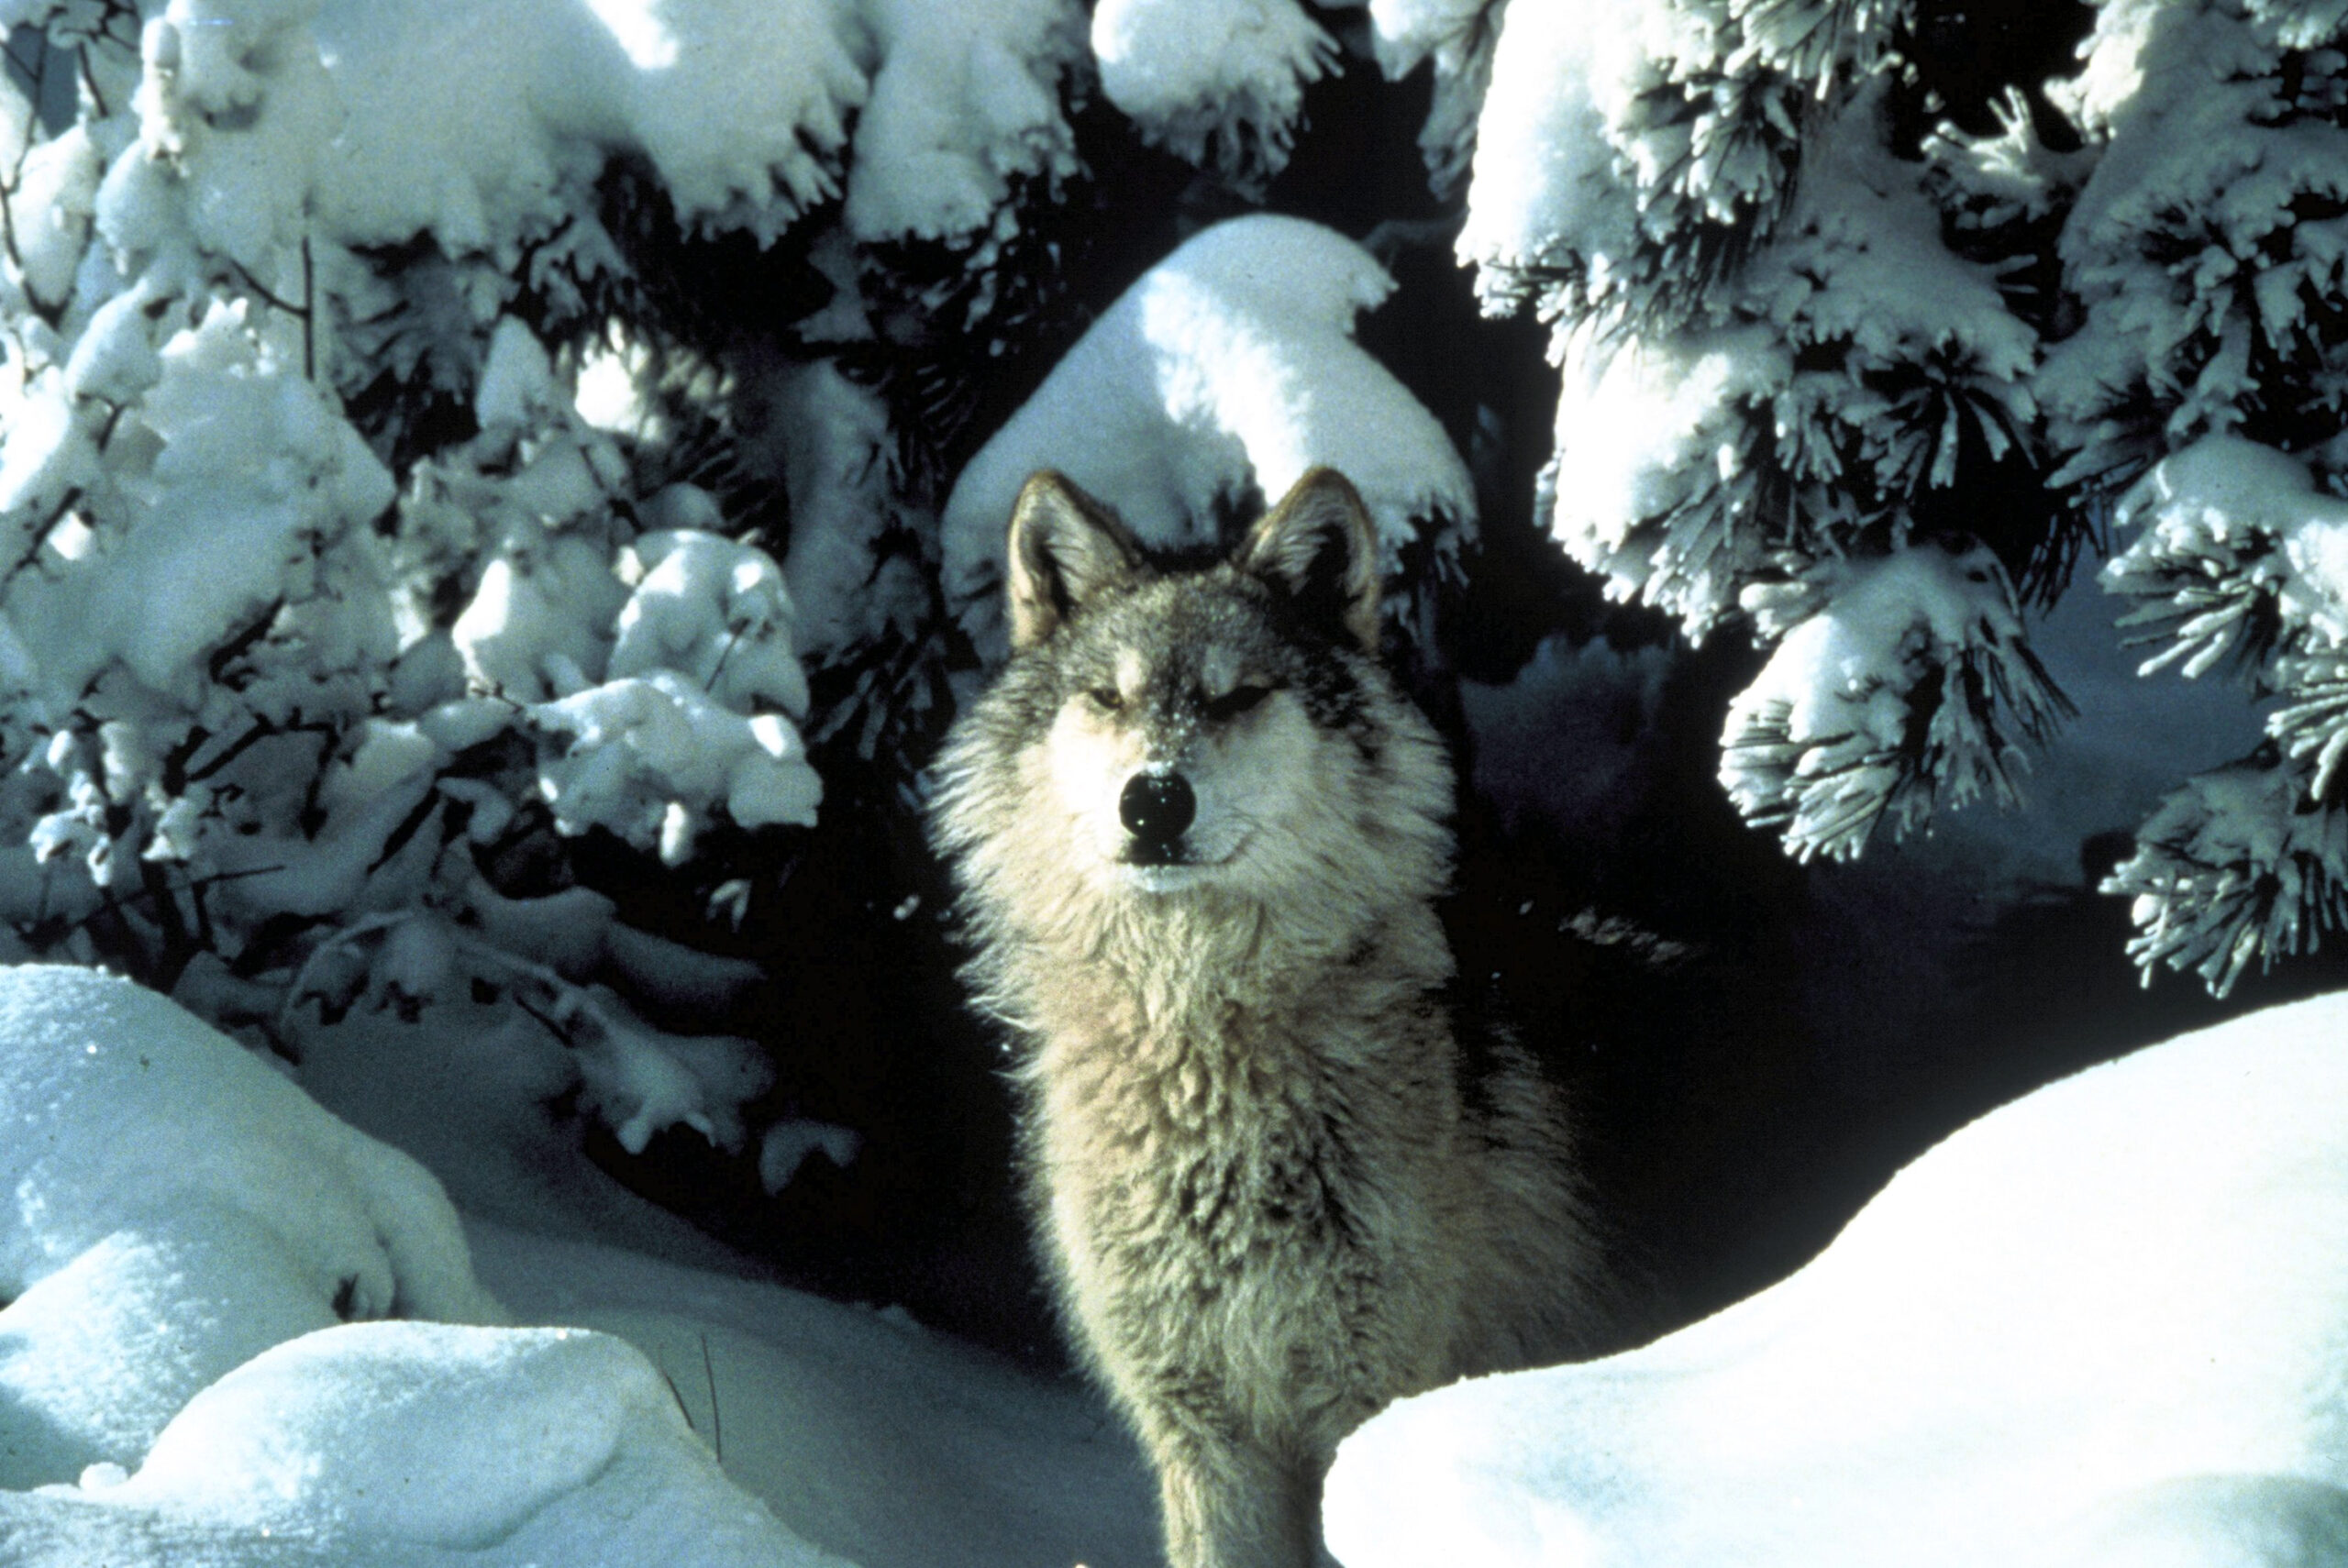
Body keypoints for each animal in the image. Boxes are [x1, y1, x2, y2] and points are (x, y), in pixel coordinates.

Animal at [934, 464, 1615, 1568]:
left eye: (1238, 695)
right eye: (1108, 696)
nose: (1153, 800)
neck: (1198, 1049)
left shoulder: (1366, 1407)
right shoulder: (1202, 1434)